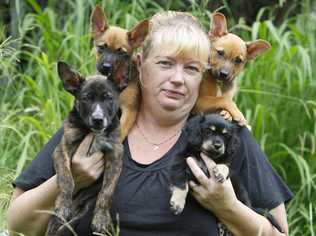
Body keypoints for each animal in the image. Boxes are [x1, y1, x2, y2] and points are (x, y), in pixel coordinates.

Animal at [47, 61, 123, 235]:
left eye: (108, 98)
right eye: (86, 98)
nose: (98, 120)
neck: (93, 132)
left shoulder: (115, 155)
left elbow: (106, 191)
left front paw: (101, 218)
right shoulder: (62, 149)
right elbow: (66, 179)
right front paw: (63, 204)